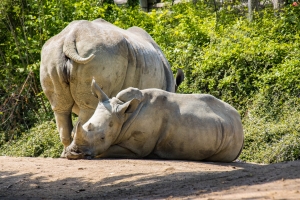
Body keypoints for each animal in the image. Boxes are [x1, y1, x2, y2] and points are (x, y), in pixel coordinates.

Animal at [40, 18, 183, 156]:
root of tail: (70, 37)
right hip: (102, 56)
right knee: (89, 107)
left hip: (52, 55)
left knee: (60, 109)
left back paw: (65, 154)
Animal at [66, 79, 244, 162]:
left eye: (102, 138)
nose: (73, 153)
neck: (123, 115)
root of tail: (239, 120)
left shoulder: (136, 148)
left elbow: (105, 151)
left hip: (232, 137)